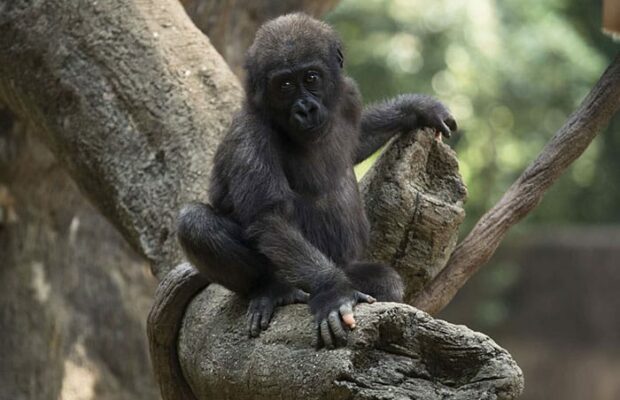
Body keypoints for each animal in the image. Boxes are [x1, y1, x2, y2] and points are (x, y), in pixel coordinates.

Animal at [177, 14, 458, 348]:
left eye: (311, 78)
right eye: (284, 86)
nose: (305, 108)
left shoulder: (348, 94)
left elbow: (359, 137)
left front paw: (418, 108)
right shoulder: (250, 135)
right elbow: (270, 218)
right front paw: (333, 293)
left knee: (385, 282)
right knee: (195, 223)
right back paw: (272, 288)